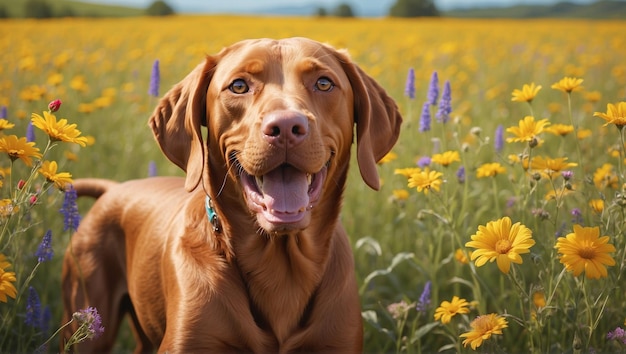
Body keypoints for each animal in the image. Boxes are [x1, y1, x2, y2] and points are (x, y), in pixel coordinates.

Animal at [59, 37, 400, 352]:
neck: (281, 266)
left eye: (324, 83)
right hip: (86, 320)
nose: (286, 127)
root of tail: (114, 188)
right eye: (238, 86)